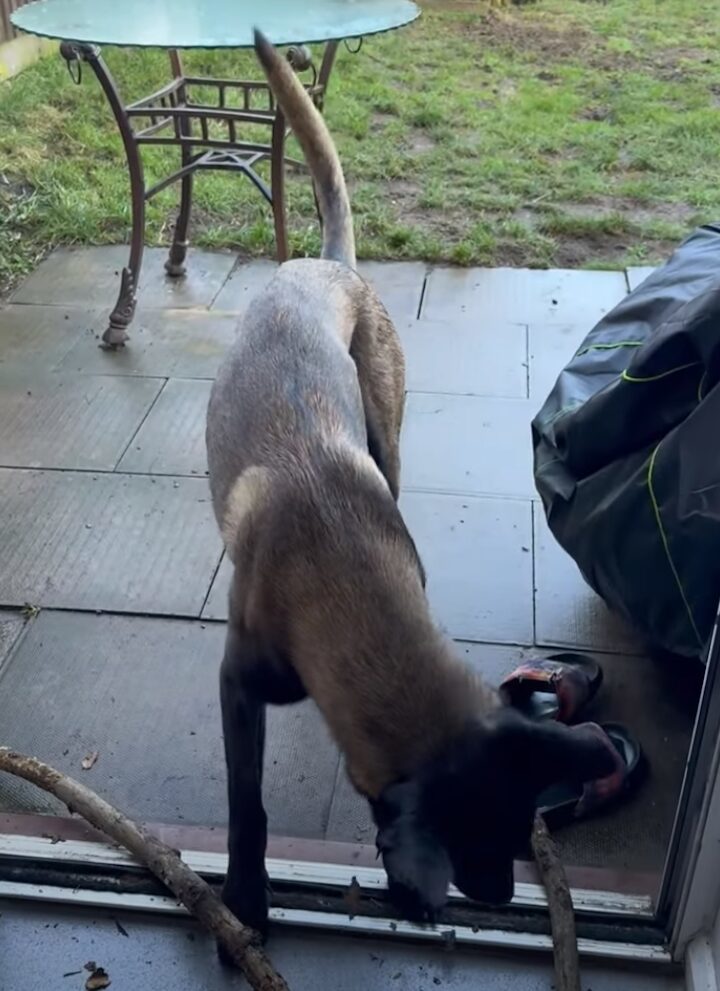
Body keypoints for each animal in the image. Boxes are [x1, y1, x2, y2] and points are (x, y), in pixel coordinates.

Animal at [205, 27, 616, 948]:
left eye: (520, 827)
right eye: (474, 843)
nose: (496, 898)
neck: (339, 564)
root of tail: (323, 266)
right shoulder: (239, 688)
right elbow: (245, 804)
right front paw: (246, 896)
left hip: (387, 426)